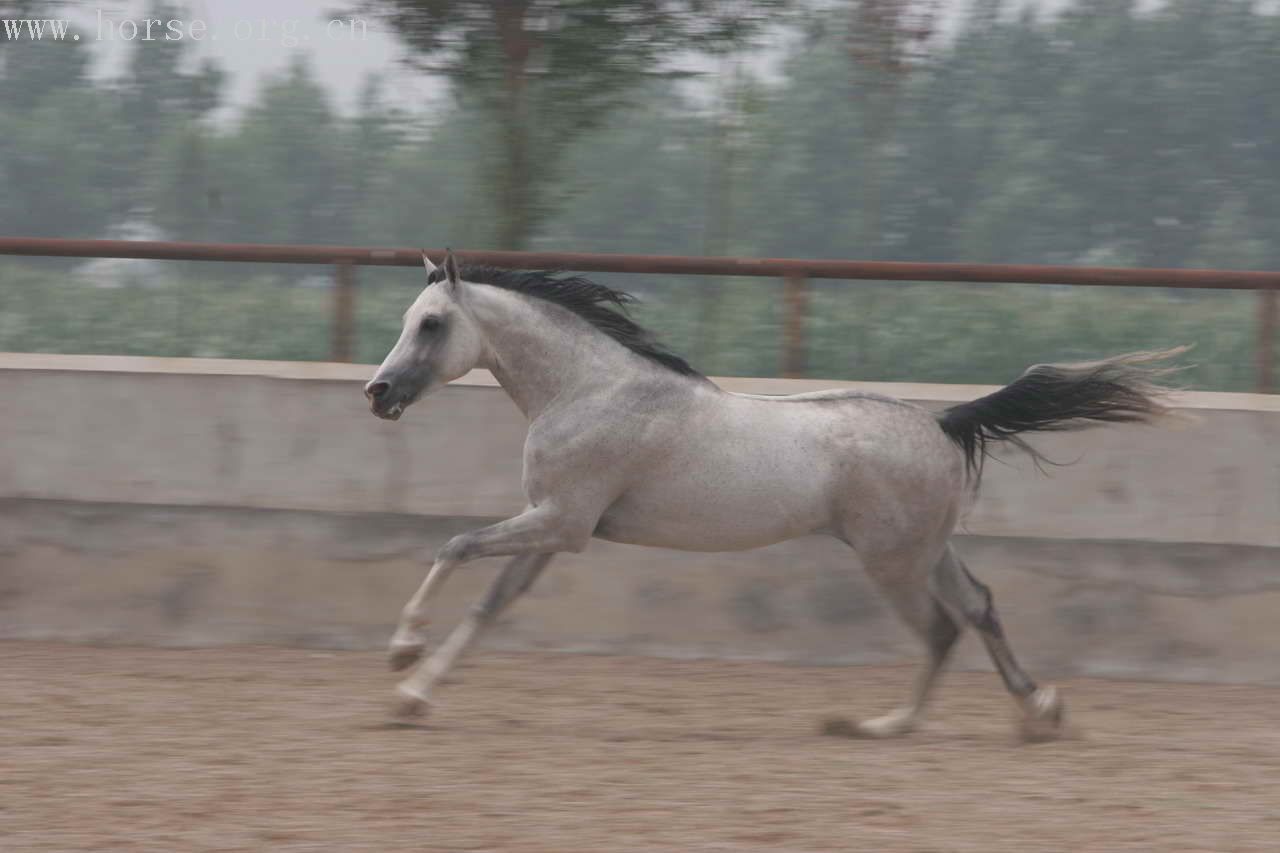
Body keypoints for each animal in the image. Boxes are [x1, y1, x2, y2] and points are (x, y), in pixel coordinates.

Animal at [363, 247, 1177, 737]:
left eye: (430, 324)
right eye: (408, 320)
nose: (378, 393)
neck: (590, 390)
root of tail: (943, 421)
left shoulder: (559, 522)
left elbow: (455, 545)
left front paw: (401, 657)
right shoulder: (560, 529)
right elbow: (490, 603)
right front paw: (414, 695)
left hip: (892, 561)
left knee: (942, 627)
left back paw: (885, 726)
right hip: (925, 550)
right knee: (978, 606)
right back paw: (1038, 710)